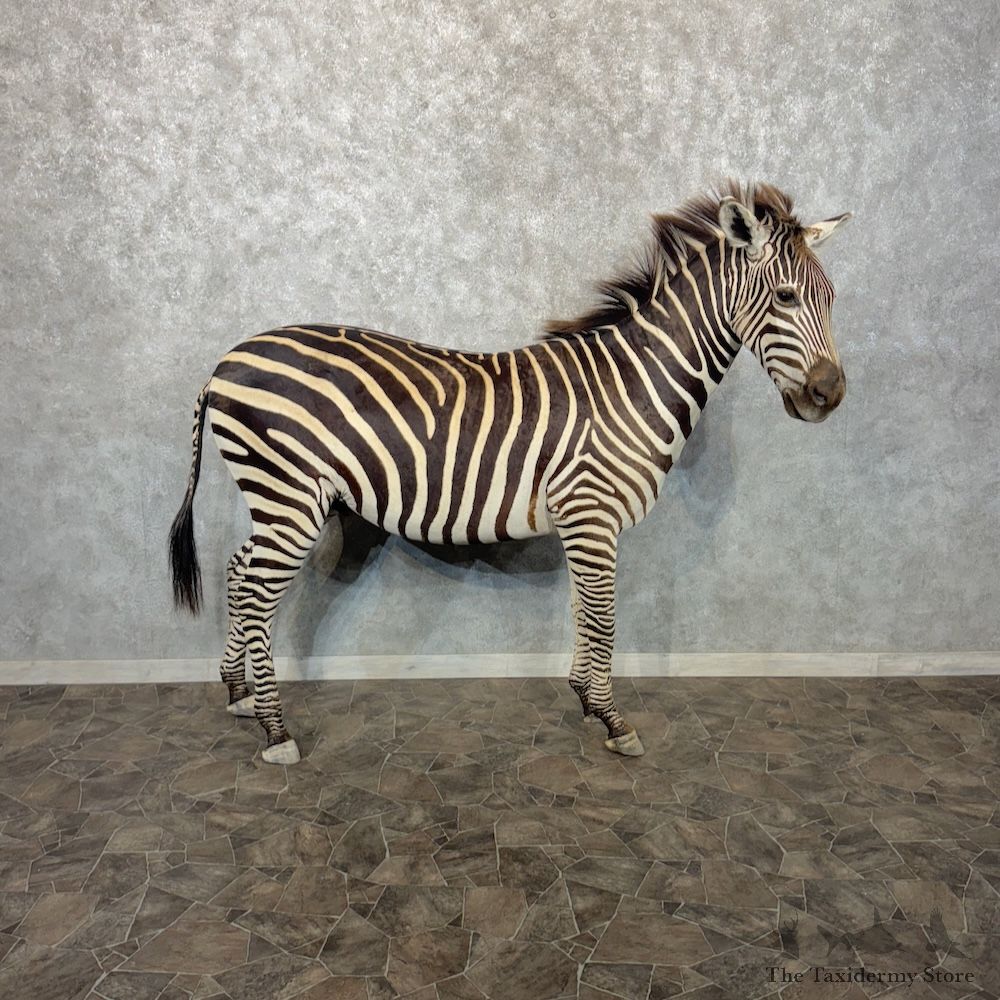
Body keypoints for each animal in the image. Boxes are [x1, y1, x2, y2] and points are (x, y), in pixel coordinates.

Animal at [169, 181, 850, 765]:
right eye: (786, 298)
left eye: (831, 300)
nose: (831, 395)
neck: (633, 383)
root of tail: (224, 363)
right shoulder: (591, 512)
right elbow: (604, 616)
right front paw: (613, 721)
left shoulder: (583, 523)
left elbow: (584, 609)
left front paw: (585, 700)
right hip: (288, 493)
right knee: (257, 592)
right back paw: (275, 730)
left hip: (274, 499)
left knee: (237, 571)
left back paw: (239, 695)